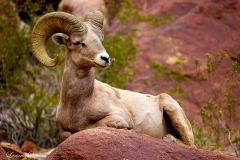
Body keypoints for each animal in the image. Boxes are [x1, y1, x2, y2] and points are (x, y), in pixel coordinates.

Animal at [31, 10, 195, 147]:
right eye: (78, 43)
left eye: (100, 40)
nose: (105, 58)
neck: (79, 103)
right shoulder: (65, 128)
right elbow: (64, 135)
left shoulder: (118, 117)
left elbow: (92, 126)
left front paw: (130, 131)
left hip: (172, 110)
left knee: (190, 144)